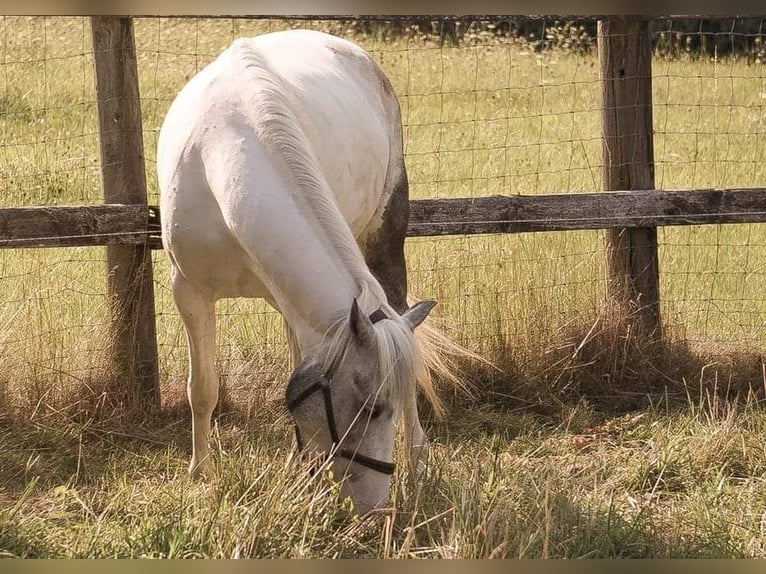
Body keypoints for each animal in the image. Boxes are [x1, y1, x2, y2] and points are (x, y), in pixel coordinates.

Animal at [156, 29, 456, 516]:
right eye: (370, 408)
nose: (376, 510)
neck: (225, 149)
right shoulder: (189, 290)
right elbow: (202, 388)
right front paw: (203, 475)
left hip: (384, 242)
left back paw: (416, 460)